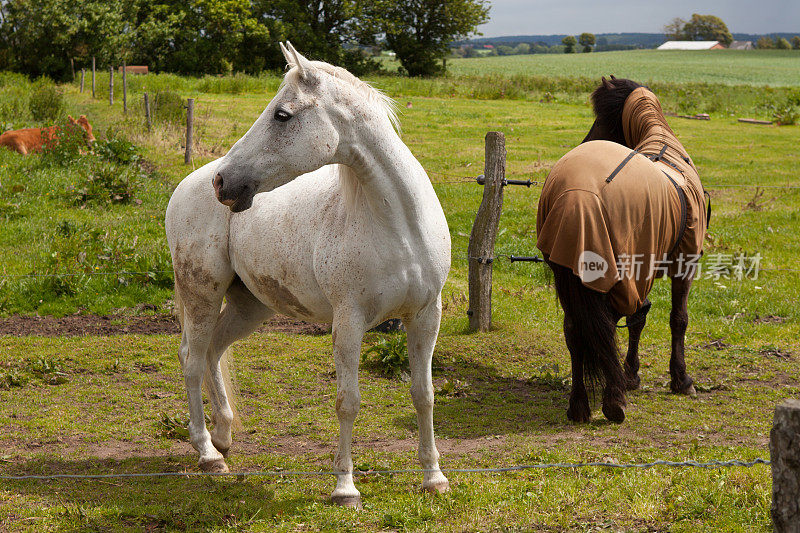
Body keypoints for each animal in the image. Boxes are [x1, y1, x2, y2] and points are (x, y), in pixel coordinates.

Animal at [164, 43, 450, 504]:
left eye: (282, 114)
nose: (224, 182)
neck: (400, 228)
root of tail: (189, 184)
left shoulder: (425, 317)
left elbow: (423, 395)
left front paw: (434, 477)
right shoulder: (349, 322)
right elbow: (348, 401)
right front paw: (345, 487)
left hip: (249, 305)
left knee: (213, 352)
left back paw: (223, 436)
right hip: (202, 294)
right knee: (191, 358)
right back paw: (207, 453)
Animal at [536, 76, 708, 424]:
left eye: (601, 119)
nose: (585, 140)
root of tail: (576, 196)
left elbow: (639, 317)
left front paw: (631, 374)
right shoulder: (682, 264)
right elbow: (676, 318)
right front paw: (679, 379)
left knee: (576, 330)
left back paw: (580, 404)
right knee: (602, 326)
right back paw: (613, 400)